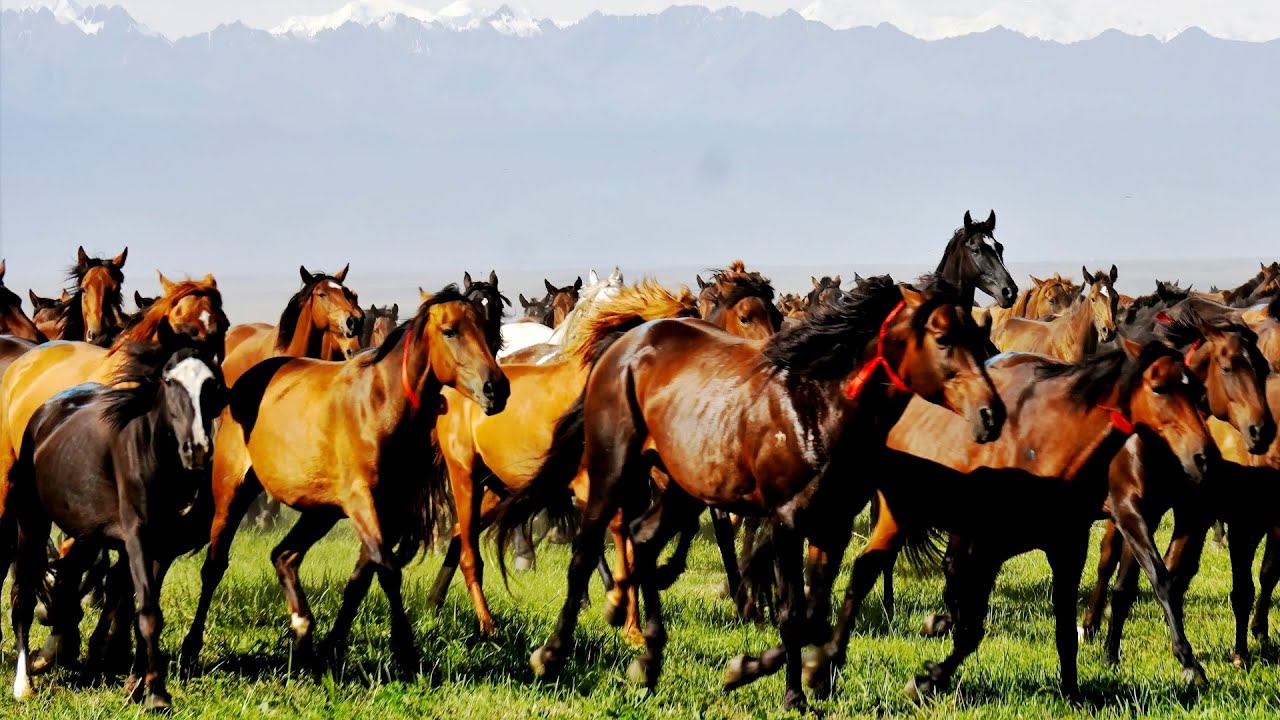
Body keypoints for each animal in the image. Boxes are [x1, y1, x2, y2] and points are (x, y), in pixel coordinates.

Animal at [4, 338, 224, 712]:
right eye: (169, 381)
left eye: (212, 385)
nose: (197, 449)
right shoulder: (137, 537)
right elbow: (146, 610)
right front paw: (156, 694)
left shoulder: (163, 545)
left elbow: (140, 607)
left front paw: (137, 683)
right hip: (31, 522)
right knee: (23, 595)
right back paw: (24, 683)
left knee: (70, 578)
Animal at [178, 286, 508, 674]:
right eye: (450, 331)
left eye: (488, 330)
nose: (496, 388)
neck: (381, 404)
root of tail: (241, 383)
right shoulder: (362, 501)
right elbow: (387, 570)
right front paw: (405, 651)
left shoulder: (391, 510)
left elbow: (360, 579)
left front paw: (330, 649)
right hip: (233, 491)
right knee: (215, 565)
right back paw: (190, 649)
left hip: (319, 511)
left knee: (283, 555)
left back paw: (303, 633)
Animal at [494, 273, 1004, 711]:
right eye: (943, 338)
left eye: (978, 336)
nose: (991, 413)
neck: (819, 406)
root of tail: (625, 344)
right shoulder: (786, 521)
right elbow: (793, 612)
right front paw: (790, 693)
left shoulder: (833, 525)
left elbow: (815, 614)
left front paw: (758, 670)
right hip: (613, 467)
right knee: (585, 551)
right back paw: (554, 654)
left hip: (681, 485)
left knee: (643, 540)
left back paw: (649, 659)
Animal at [802, 337, 1213, 703]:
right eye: (1159, 387)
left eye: (1197, 390)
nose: (1204, 455)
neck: (1044, 446)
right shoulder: (990, 545)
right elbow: (971, 630)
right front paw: (926, 680)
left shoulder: (1067, 545)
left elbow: (1065, 626)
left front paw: (1073, 691)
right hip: (900, 513)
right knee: (865, 572)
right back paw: (826, 665)